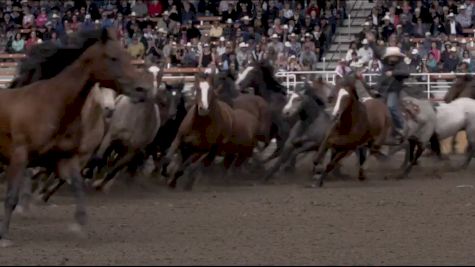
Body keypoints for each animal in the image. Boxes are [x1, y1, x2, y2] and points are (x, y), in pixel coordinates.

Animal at [0, 28, 146, 247]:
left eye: (128, 55)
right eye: (113, 57)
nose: (142, 89)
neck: (52, 104)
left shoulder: (67, 156)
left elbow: (77, 185)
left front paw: (79, 224)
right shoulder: (20, 157)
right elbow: (11, 196)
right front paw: (4, 236)